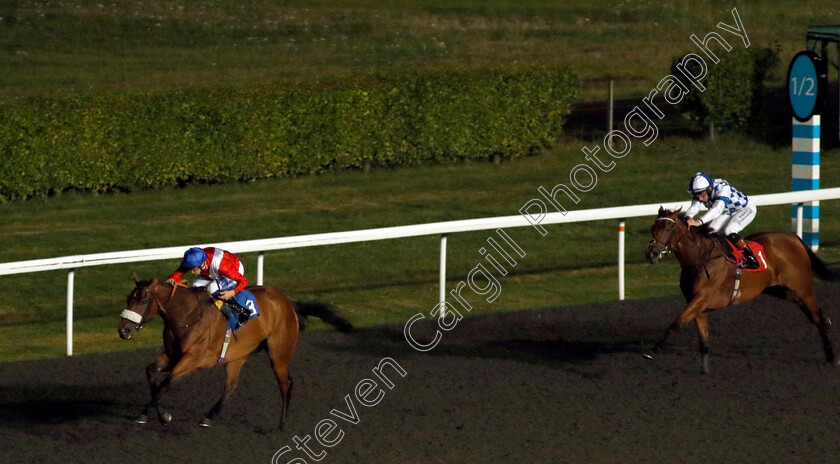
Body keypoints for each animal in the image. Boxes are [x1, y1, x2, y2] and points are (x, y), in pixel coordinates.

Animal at [118, 274, 354, 430]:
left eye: (144, 300)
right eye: (129, 298)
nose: (123, 330)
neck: (187, 315)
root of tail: (288, 303)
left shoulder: (191, 360)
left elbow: (165, 385)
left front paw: (162, 416)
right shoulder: (172, 354)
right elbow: (150, 373)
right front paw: (148, 414)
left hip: (278, 354)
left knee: (286, 383)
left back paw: (281, 425)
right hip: (237, 357)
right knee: (231, 387)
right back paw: (208, 417)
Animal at [648, 208, 836, 374]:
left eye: (668, 228)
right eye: (653, 228)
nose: (652, 254)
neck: (699, 258)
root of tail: (794, 237)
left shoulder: (701, 298)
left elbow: (676, 323)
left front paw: (653, 351)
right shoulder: (697, 305)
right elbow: (703, 338)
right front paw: (705, 369)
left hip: (803, 289)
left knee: (815, 317)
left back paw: (831, 356)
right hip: (778, 289)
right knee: (812, 313)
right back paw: (827, 321)